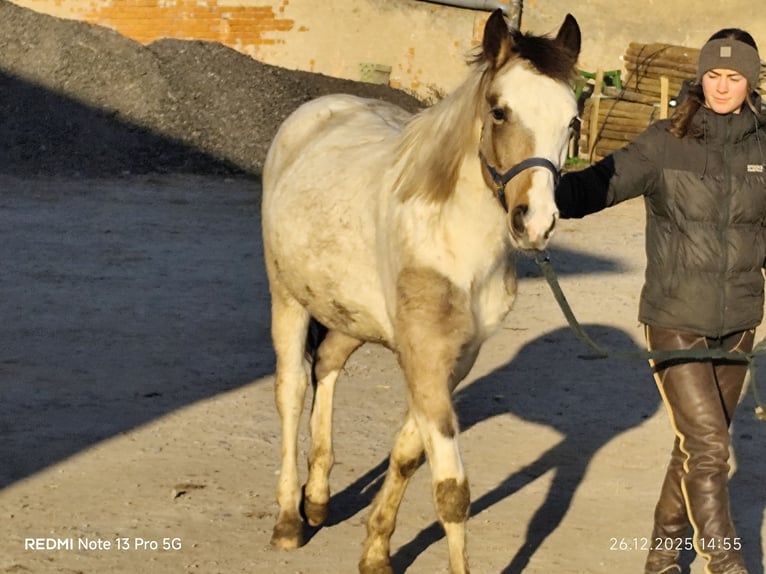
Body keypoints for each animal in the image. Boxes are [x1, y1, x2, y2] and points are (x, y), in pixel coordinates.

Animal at [261, 10, 581, 573]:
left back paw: (317, 498)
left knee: (328, 364)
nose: (536, 223)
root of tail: (317, 111)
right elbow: (452, 491)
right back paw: (288, 520)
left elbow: (409, 456)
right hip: (289, 299)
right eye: (499, 111)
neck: (455, 244)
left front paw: (375, 552)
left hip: (351, 314)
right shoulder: (426, 357)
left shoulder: (452, 359)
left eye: (572, 122)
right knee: (293, 389)